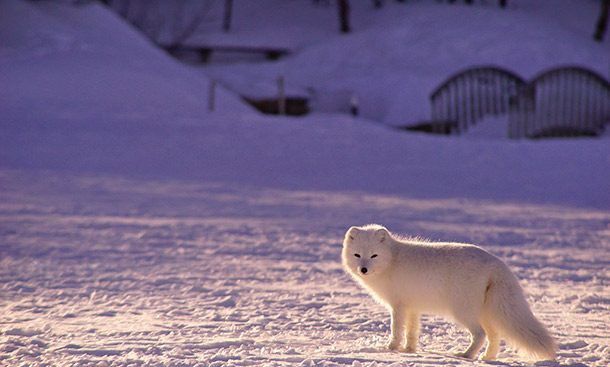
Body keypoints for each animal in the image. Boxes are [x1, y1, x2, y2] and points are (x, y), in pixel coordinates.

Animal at [342, 224, 556, 362]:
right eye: (357, 255)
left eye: (374, 256)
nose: (363, 269)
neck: (392, 260)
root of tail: (496, 263)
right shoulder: (413, 307)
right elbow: (412, 331)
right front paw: (409, 350)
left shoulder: (399, 306)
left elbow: (396, 329)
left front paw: (390, 349)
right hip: (486, 312)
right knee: (494, 336)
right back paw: (487, 357)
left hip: (463, 311)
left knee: (480, 334)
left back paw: (466, 355)